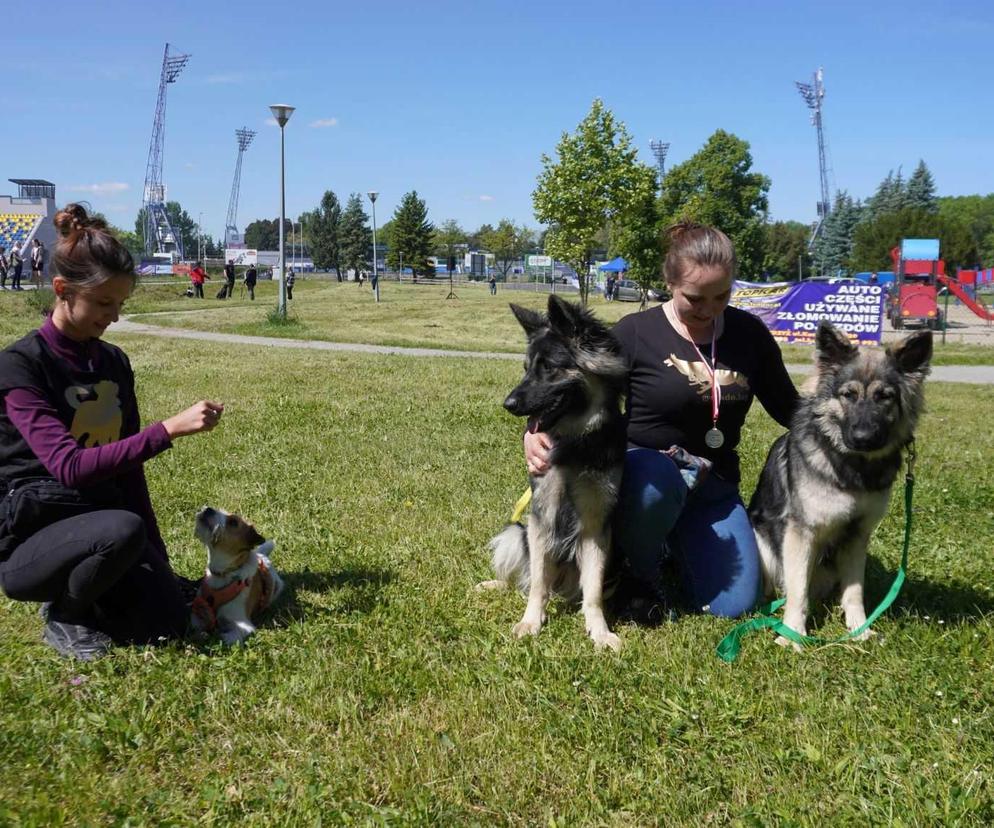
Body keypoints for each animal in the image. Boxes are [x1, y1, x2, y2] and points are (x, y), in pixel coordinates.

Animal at [192, 504, 282, 648]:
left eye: (233, 522)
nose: (208, 509)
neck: (222, 574)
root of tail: (263, 556)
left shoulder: (243, 625)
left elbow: (227, 637)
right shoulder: (198, 609)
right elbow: (195, 624)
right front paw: (201, 634)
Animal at [476, 294, 624, 652]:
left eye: (549, 367)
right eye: (526, 368)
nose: (508, 404)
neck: (576, 442)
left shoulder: (596, 524)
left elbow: (593, 591)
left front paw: (599, 631)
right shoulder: (541, 515)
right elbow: (537, 581)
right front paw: (531, 622)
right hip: (517, 531)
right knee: (525, 578)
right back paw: (495, 585)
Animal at [748, 320, 932, 652]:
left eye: (885, 396)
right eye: (848, 394)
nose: (863, 438)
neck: (853, 469)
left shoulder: (856, 535)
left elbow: (854, 591)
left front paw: (859, 630)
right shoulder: (801, 534)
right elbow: (797, 592)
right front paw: (792, 634)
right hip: (763, 543)